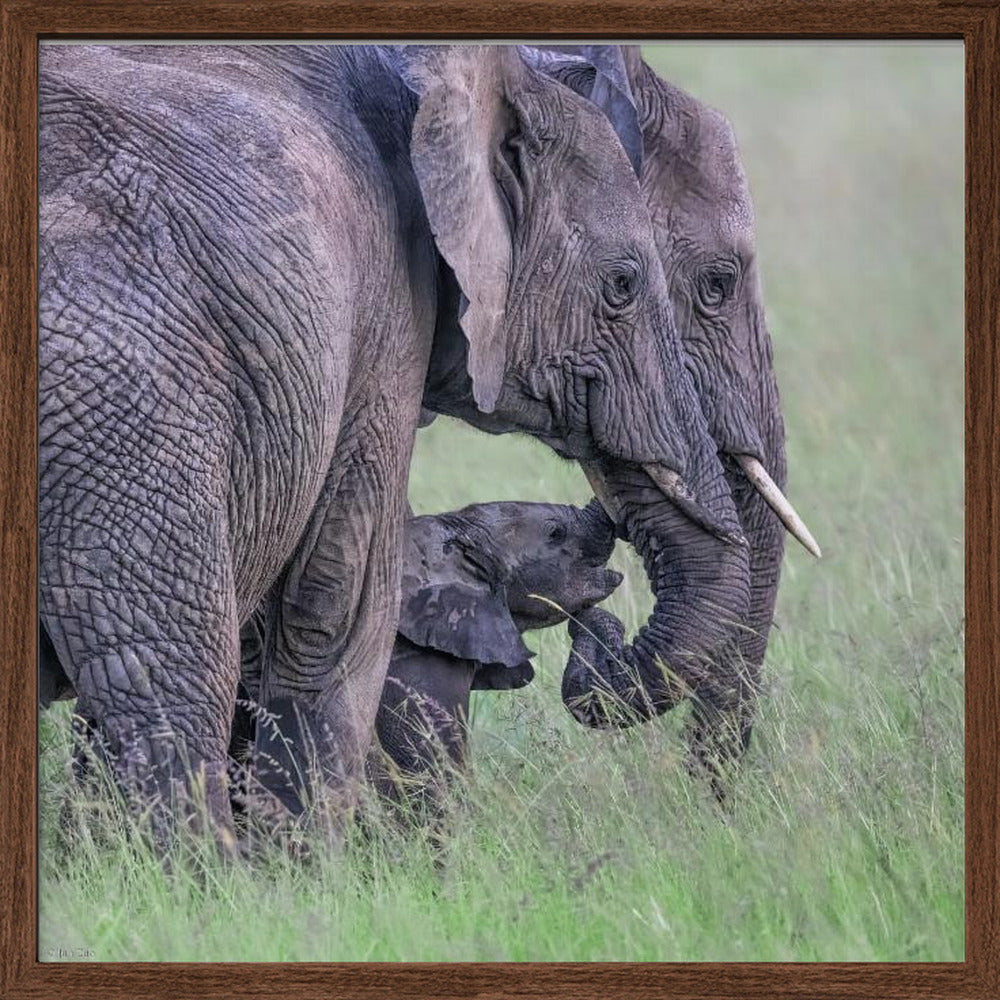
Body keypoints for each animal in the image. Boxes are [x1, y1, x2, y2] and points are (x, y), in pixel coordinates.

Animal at [39, 42, 751, 852]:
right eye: (624, 285)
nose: (599, 623)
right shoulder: (382, 315)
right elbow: (333, 608)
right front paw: (306, 875)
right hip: (129, 407)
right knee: (166, 679)